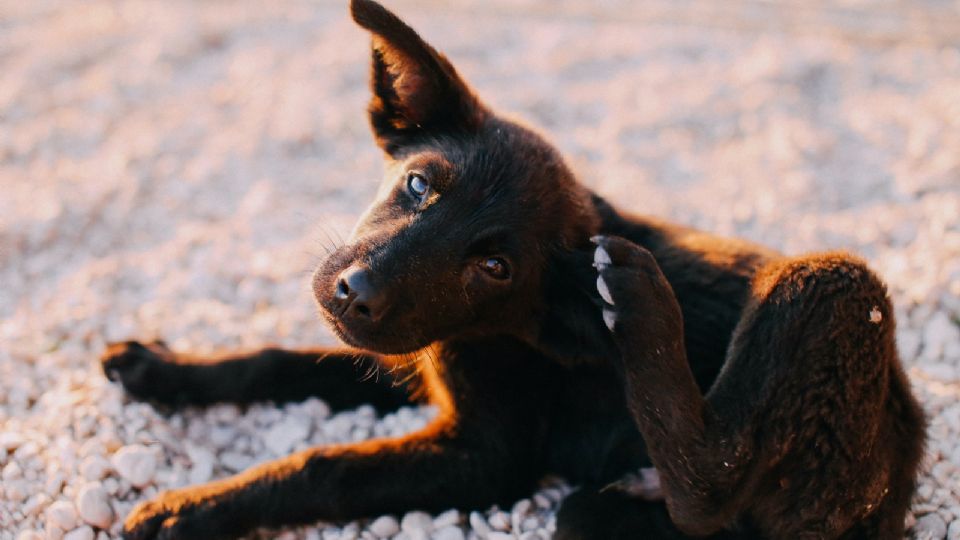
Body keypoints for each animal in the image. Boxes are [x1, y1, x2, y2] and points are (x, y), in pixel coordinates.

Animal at [101, 2, 928, 536]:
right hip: (597, 511)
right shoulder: (406, 358)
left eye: (495, 266)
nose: (353, 293)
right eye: (418, 185)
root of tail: (903, 451)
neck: (492, 329)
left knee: (710, 484)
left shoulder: (485, 457)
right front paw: (161, 368)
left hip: (830, 286)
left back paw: (638, 303)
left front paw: (191, 508)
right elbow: (277, 360)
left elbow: (327, 466)